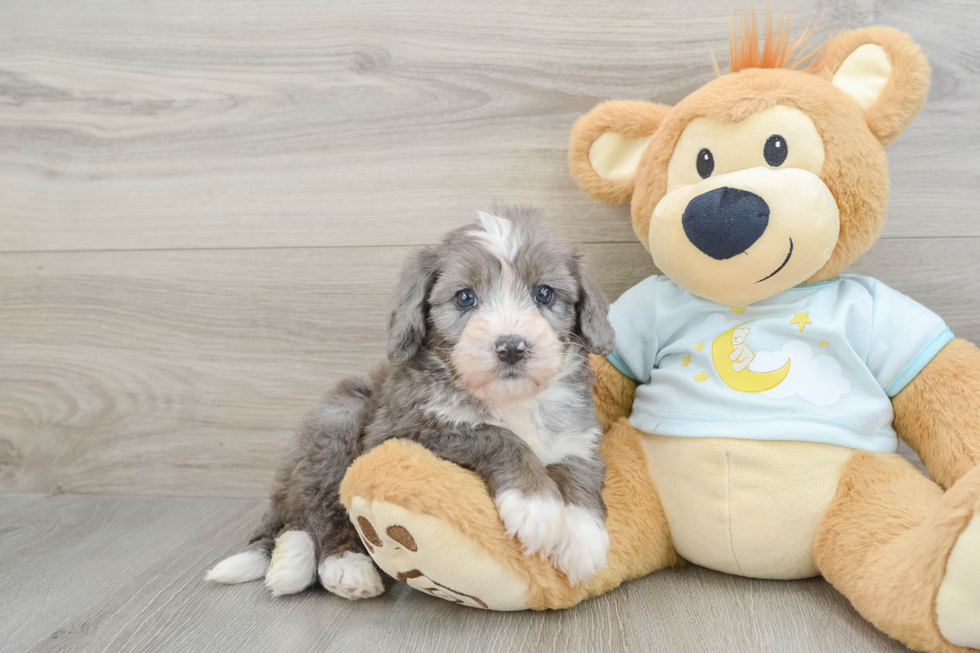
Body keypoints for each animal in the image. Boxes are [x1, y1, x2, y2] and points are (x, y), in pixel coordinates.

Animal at [209, 206, 612, 600]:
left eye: (544, 293)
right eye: (465, 297)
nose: (511, 347)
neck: (510, 400)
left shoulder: (577, 435)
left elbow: (576, 469)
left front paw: (583, 538)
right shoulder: (400, 429)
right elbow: (493, 435)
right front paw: (536, 504)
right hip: (339, 418)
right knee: (317, 510)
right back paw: (340, 566)